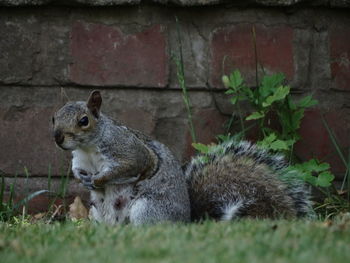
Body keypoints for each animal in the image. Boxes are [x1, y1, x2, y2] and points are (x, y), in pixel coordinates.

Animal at [51, 91, 312, 225]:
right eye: (53, 117)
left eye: (84, 120)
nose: (58, 137)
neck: (87, 148)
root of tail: (186, 221)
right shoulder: (79, 159)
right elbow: (77, 169)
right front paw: (82, 178)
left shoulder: (130, 151)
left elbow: (131, 167)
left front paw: (99, 180)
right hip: (96, 214)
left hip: (146, 210)